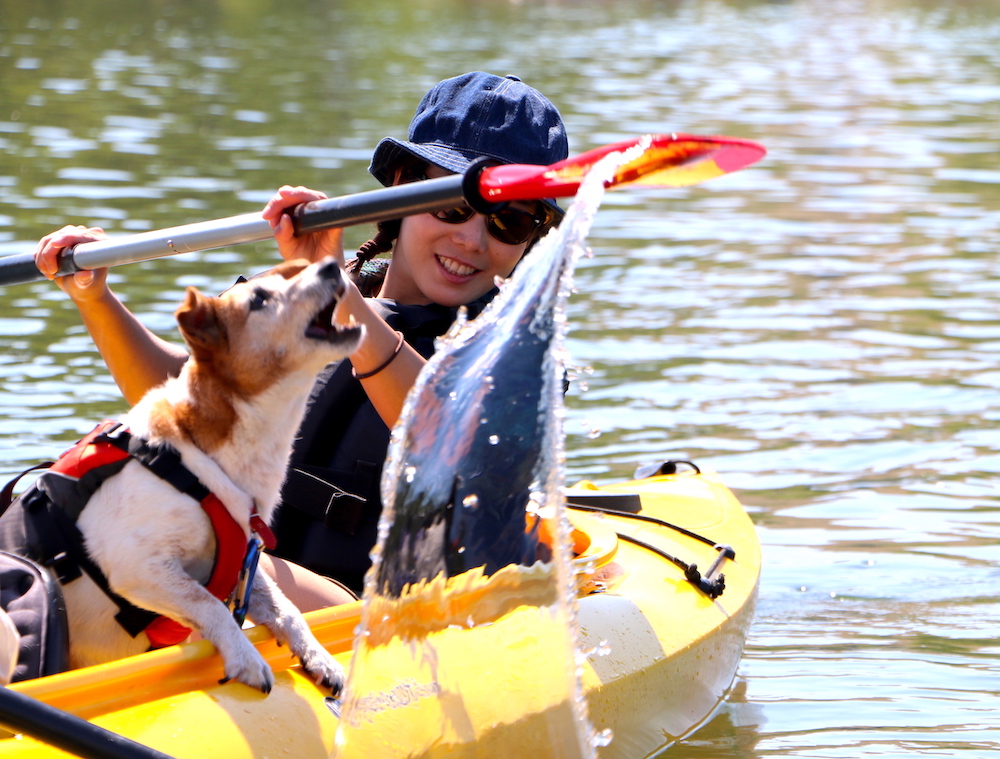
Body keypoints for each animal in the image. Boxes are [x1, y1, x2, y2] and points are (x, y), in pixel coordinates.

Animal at [0, 260, 360, 696]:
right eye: (259, 298)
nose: (331, 264)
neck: (198, 454)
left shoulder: (245, 564)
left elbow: (287, 610)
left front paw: (319, 657)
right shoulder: (139, 567)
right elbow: (209, 605)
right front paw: (246, 659)